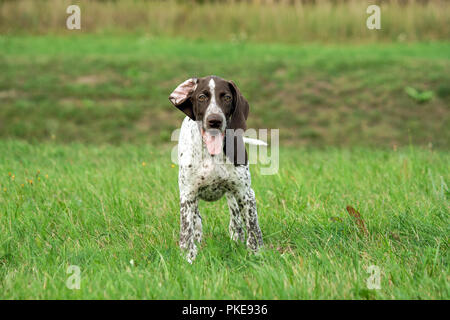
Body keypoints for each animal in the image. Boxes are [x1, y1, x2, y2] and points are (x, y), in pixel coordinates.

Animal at [171, 75, 266, 262]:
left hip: (233, 195)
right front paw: (188, 258)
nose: (214, 120)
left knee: (236, 221)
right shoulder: (188, 195)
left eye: (227, 97)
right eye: (201, 97)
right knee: (197, 223)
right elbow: (186, 231)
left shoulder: (246, 193)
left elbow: (253, 227)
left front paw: (256, 255)